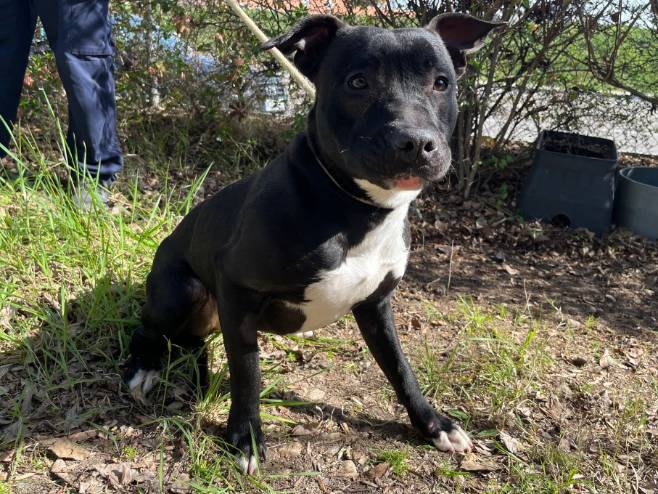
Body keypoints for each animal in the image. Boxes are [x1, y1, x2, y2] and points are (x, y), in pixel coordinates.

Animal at [124, 13, 502, 474]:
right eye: (358, 82)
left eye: (441, 82)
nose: (416, 142)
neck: (355, 207)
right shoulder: (236, 287)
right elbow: (247, 372)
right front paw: (246, 437)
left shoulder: (376, 306)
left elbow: (400, 368)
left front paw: (433, 424)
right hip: (181, 291)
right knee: (148, 329)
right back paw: (144, 369)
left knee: (194, 344)